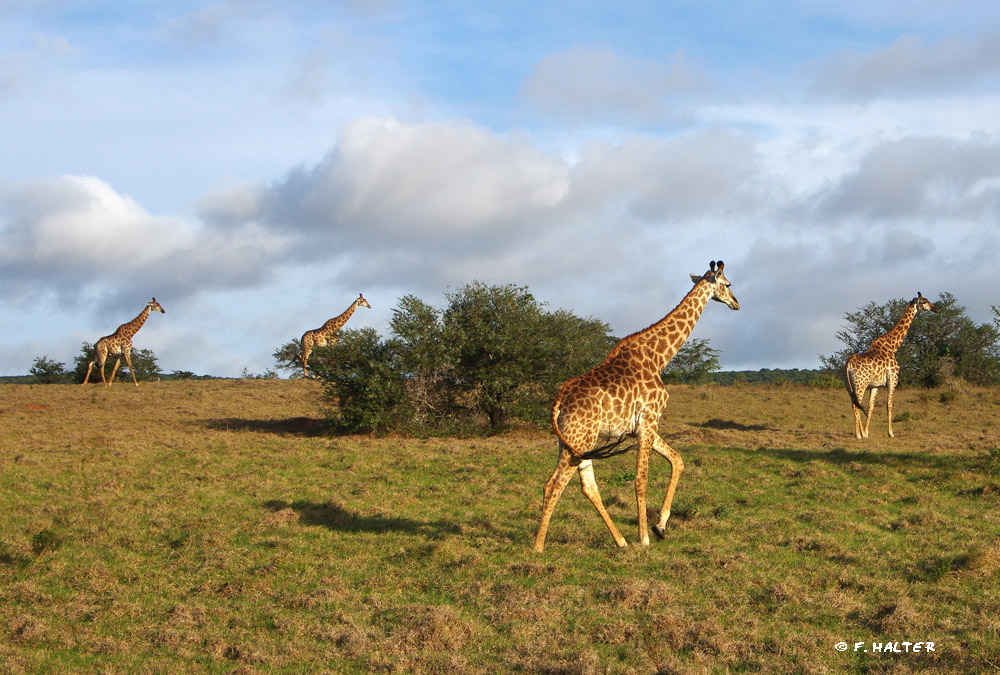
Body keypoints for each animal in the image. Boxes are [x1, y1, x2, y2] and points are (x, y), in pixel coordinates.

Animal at [532, 262, 744, 552]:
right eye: (728, 284)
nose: (736, 303)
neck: (659, 357)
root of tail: (558, 402)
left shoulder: (644, 425)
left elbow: (677, 460)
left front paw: (660, 526)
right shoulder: (649, 420)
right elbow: (641, 479)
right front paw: (644, 538)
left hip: (576, 442)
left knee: (587, 487)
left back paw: (620, 541)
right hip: (578, 439)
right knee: (553, 485)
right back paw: (538, 547)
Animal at [844, 292, 936, 440]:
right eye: (924, 302)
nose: (936, 309)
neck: (893, 346)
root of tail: (848, 364)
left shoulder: (875, 385)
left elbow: (870, 406)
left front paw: (867, 432)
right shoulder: (893, 379)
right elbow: (889, 404)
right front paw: (891, 432)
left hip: (849, 385)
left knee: (855, 403)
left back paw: (861, 433)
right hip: (860, 384)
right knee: (855, 405)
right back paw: (857, 435)